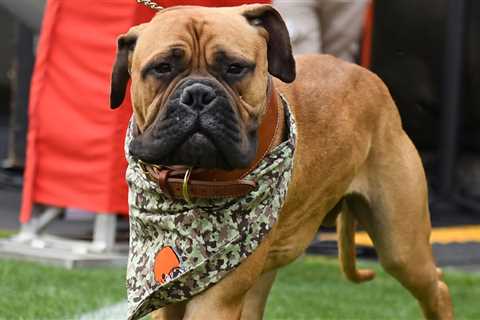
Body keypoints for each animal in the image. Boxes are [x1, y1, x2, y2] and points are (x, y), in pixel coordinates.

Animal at [109, 3, 454, 318]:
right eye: (162, 67)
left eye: (235, 68)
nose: (198, 95)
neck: (191, 180)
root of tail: (371, 77)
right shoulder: (168, 296)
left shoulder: (215, 300)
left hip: (402, 247)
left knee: (436, 287)